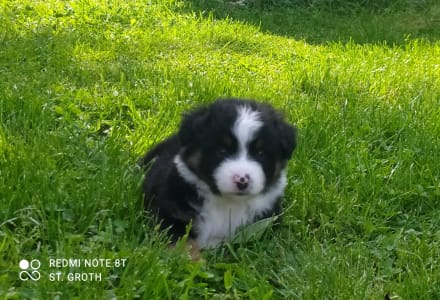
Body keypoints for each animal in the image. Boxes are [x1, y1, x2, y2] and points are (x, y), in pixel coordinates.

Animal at [143, 98, 298, 248]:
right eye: (221, 151)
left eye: (261, 153)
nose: (242, 180)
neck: (228, 203)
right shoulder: (170, 215)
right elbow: (184, 246)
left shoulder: (264, 223)